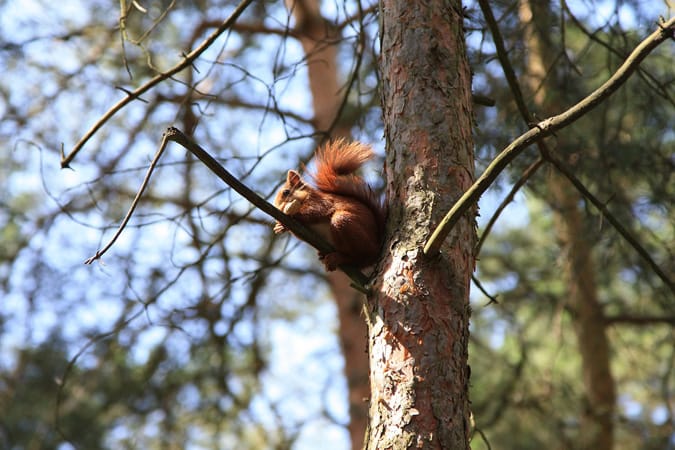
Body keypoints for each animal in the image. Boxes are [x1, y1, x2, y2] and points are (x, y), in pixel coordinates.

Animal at [274, 139, 386, 270]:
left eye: (286, 192)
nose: (280, 209)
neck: (305, 198)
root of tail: (376, 245)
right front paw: (280, 226)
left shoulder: (321, 202)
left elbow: (315, 212)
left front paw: (291, 216)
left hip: (345, 223)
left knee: (361, 256)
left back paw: (340, 257)